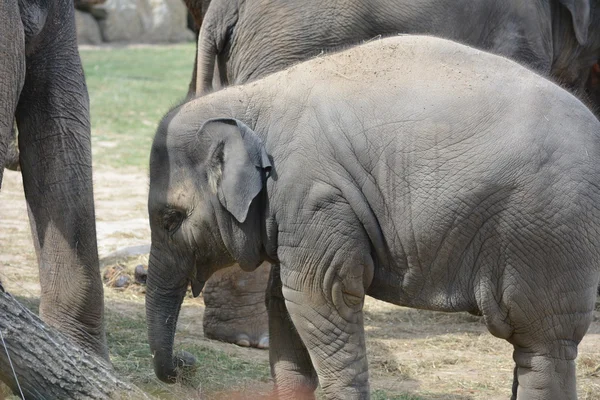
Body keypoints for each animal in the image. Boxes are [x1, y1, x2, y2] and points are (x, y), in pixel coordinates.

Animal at [144, 36, 600, 398]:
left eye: (171, 218)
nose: (187, 363)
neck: (251, 101)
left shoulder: (314, 197)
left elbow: (317, 296)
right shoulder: (297, 214)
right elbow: (283, 301)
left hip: (548, 232)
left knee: (542, 342)